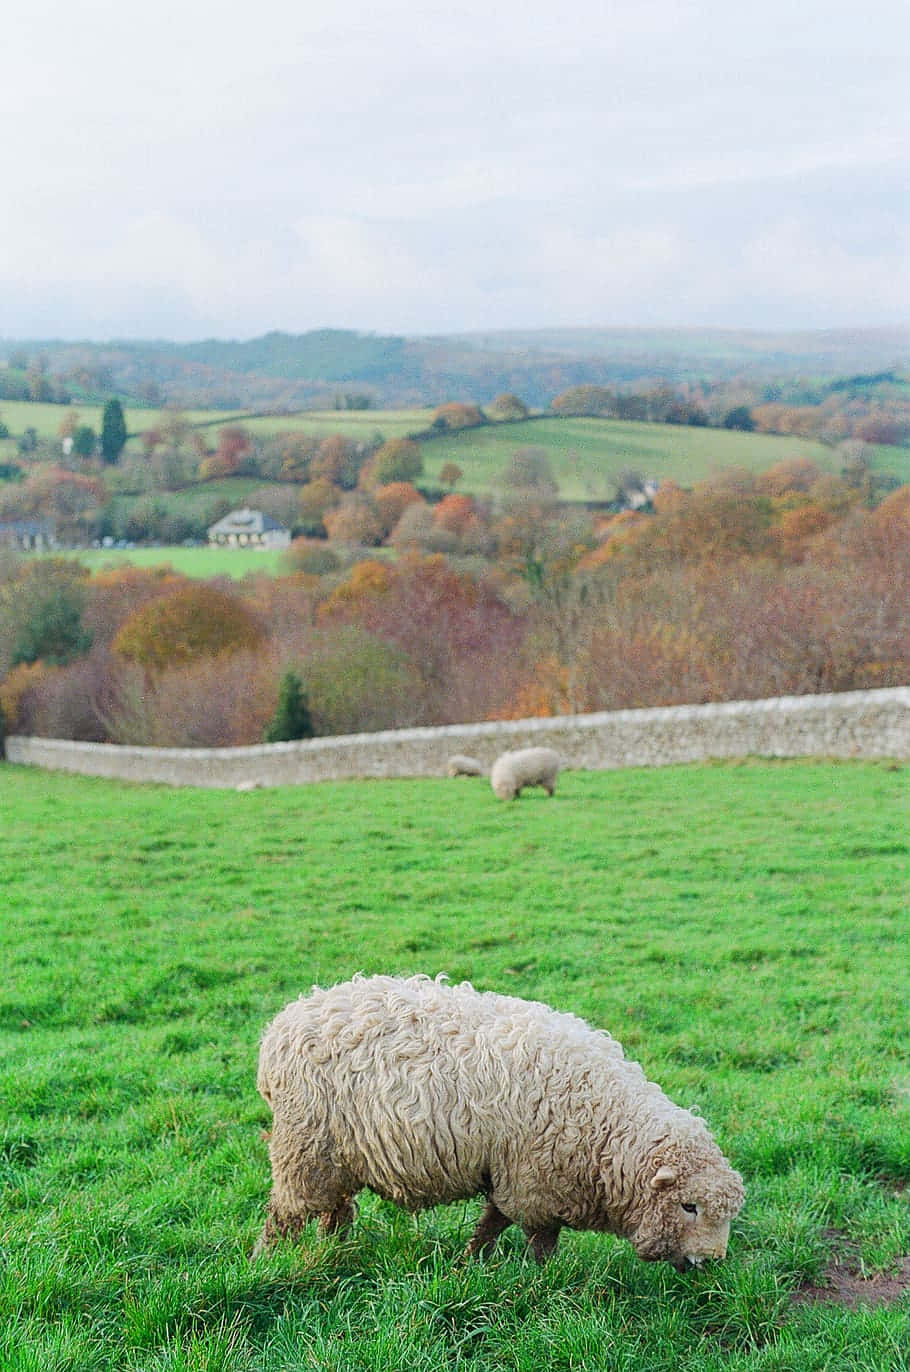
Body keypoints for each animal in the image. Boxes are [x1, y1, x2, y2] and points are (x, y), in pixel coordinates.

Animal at [252, 976, 746, 1262]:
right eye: (689, 1206)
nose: (712, 1261)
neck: (609, 1126)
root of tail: (284, 1023)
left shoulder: (515, 1174)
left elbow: (493, 1220)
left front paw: (469, 1261)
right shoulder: (535, 1182)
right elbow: (536, 1236)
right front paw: (540, 1277)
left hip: (338, 1153)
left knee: (336, 1207)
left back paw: (335, 1248)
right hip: (304, 1146)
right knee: (286, 1213)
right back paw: (266, 1259)